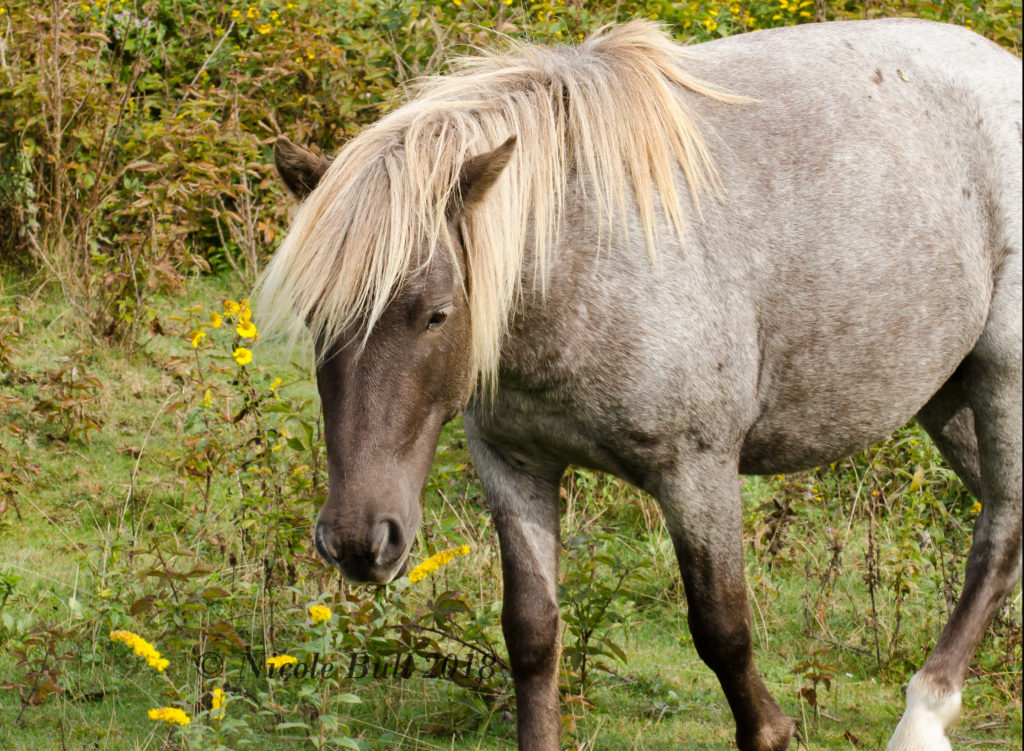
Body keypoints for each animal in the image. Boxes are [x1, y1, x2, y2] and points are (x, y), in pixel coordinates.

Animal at [253, 17, 1015, 749]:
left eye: (437, 313)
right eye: (317, 319)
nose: (358, 540)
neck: (578, 255)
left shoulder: (697, 473)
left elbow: (722, 629)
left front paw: (773, 729)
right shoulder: (514, 465)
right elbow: (532, 633)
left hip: (1002, 378)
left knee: (998, 537)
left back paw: (922, 720)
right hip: (948, 397)